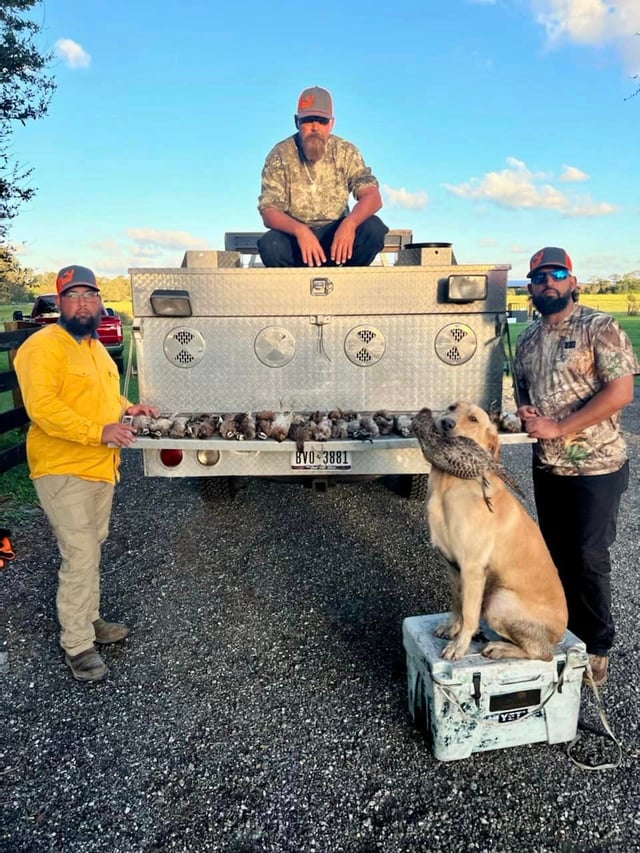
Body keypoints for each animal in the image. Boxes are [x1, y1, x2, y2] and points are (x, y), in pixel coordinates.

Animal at [416, 402, 568, 664]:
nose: (446, 423)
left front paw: (460, 645)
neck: (448, 484)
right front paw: (452, 627)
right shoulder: (451, 564)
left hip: (498, 600)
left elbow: (469, 613)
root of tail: (560, 635)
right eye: (451, 407)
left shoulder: (472, 568)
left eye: (474, 419)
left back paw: (500, 648)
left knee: (542, 654)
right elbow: (457, 602)